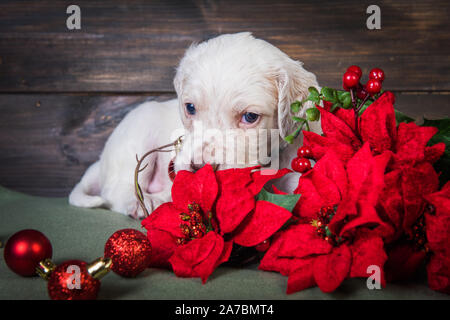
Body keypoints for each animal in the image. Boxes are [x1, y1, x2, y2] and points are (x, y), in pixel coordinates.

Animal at [68, 32, 318, 218]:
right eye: (190, 107)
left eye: (249, 117)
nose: (199, 168)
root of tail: (100, 163)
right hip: (139, 130)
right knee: (117, 190)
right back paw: (144, 202)